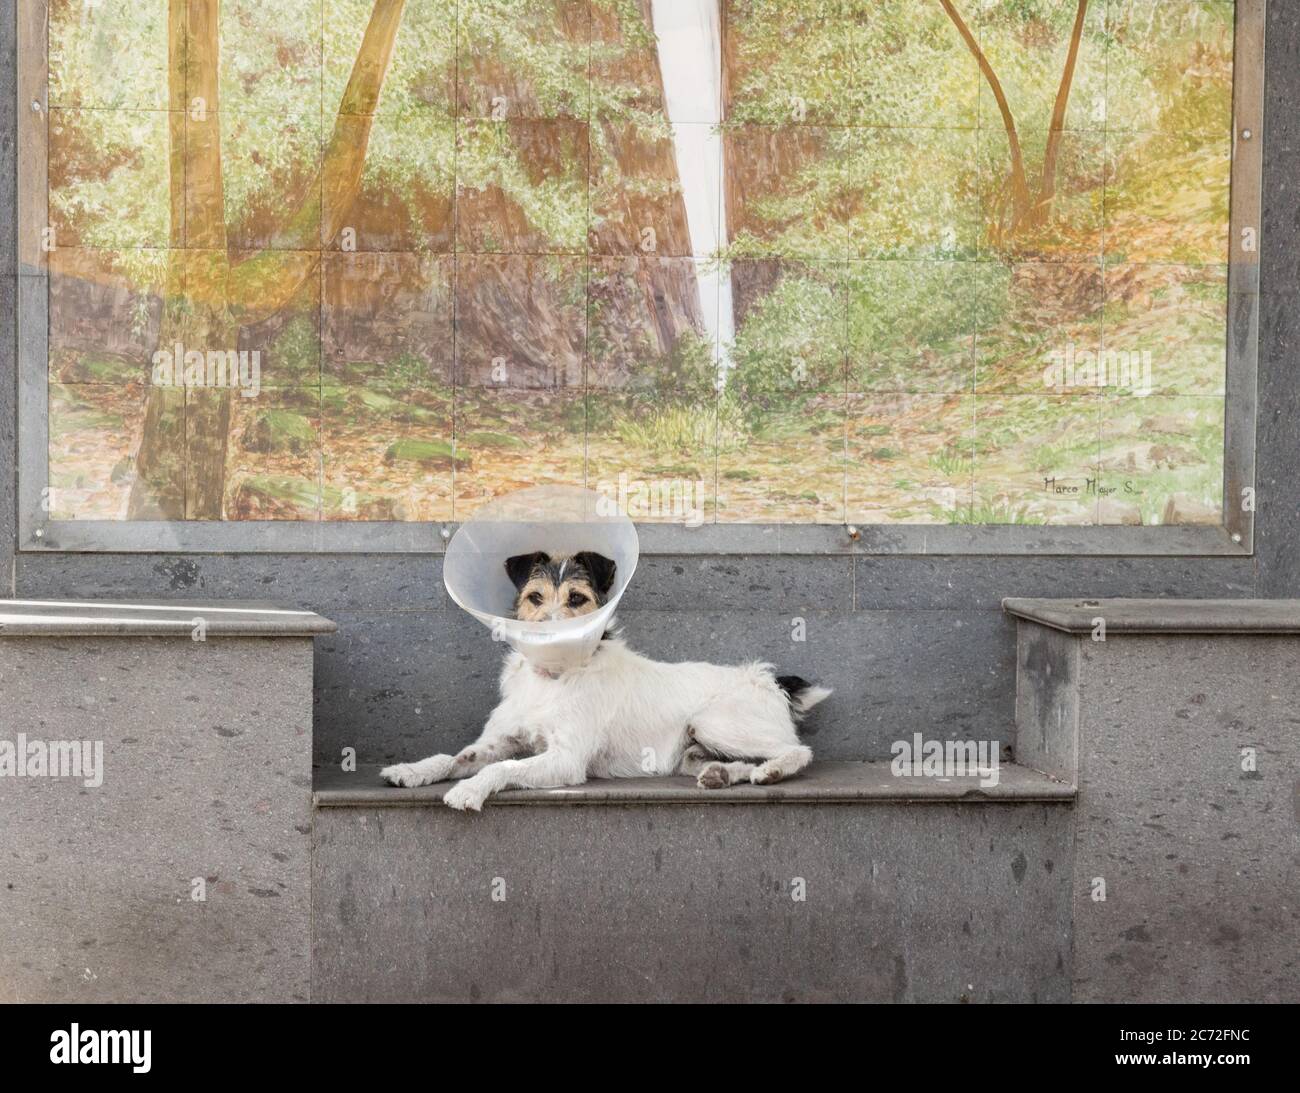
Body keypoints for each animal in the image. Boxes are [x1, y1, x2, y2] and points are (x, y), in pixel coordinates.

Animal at [377, 545, 826, 810]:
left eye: (577, 599)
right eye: (534, 598)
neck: (553, 677)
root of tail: (770, 680)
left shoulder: (567, 759)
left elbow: (500, 769)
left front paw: (468, 790)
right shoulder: (498, 741)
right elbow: (453, 758)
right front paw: (412, 770)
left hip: (715, 721)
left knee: (797, 749)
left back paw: (772, 772)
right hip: (695, 747)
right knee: (723, 760)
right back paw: (721, 775)